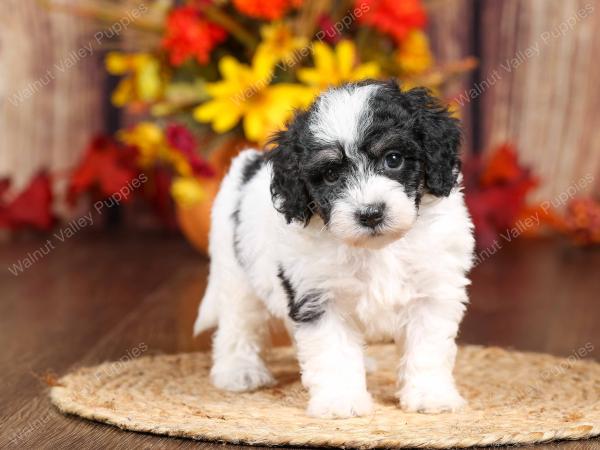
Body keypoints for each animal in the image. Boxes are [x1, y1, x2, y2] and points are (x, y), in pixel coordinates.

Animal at [195, 80, 476, 418]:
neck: (378, 247)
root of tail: (248, 165)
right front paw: (341, 401)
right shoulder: (320, 297)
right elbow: (333, 350)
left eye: (393, 159)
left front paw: (430, 395)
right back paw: (238, 370)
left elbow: (428, 346)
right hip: (236, 271)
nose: (370, 213)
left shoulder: (433, 289)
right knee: (238, 323)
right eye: (331, 175)